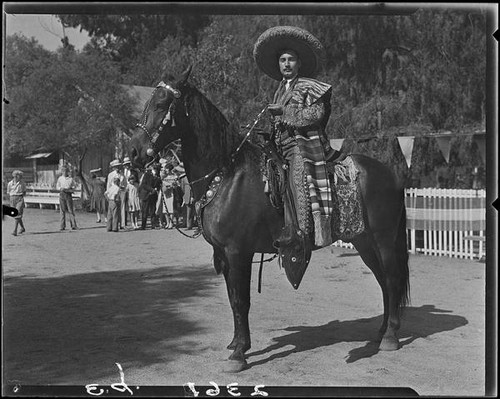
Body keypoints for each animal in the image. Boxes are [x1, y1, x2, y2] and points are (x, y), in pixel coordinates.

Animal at [129, 66, 410, 376]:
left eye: (160, 104)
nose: (134, 152)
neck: (227, 175)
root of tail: (392, 174)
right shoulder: (224, 255)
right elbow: (232, 298)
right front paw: (236, 343)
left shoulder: (238, 252)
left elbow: (242, 300)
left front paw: (239, 354)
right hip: (364, 242)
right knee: (383, 281)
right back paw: (382, 330)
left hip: (384, 240)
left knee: (393, 278)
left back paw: (390, 337)